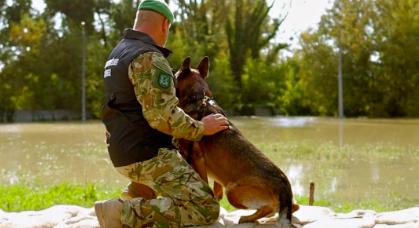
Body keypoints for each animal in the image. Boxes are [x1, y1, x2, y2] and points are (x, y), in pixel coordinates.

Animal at [174, 57, 298, 226]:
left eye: (174, 74)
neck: (199, 98)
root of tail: (284, 182)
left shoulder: (195, 158)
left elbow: (206, 183)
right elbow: (216, 188)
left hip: (233, 191)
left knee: (270, 207)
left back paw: (249, 218)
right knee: (292, 206)